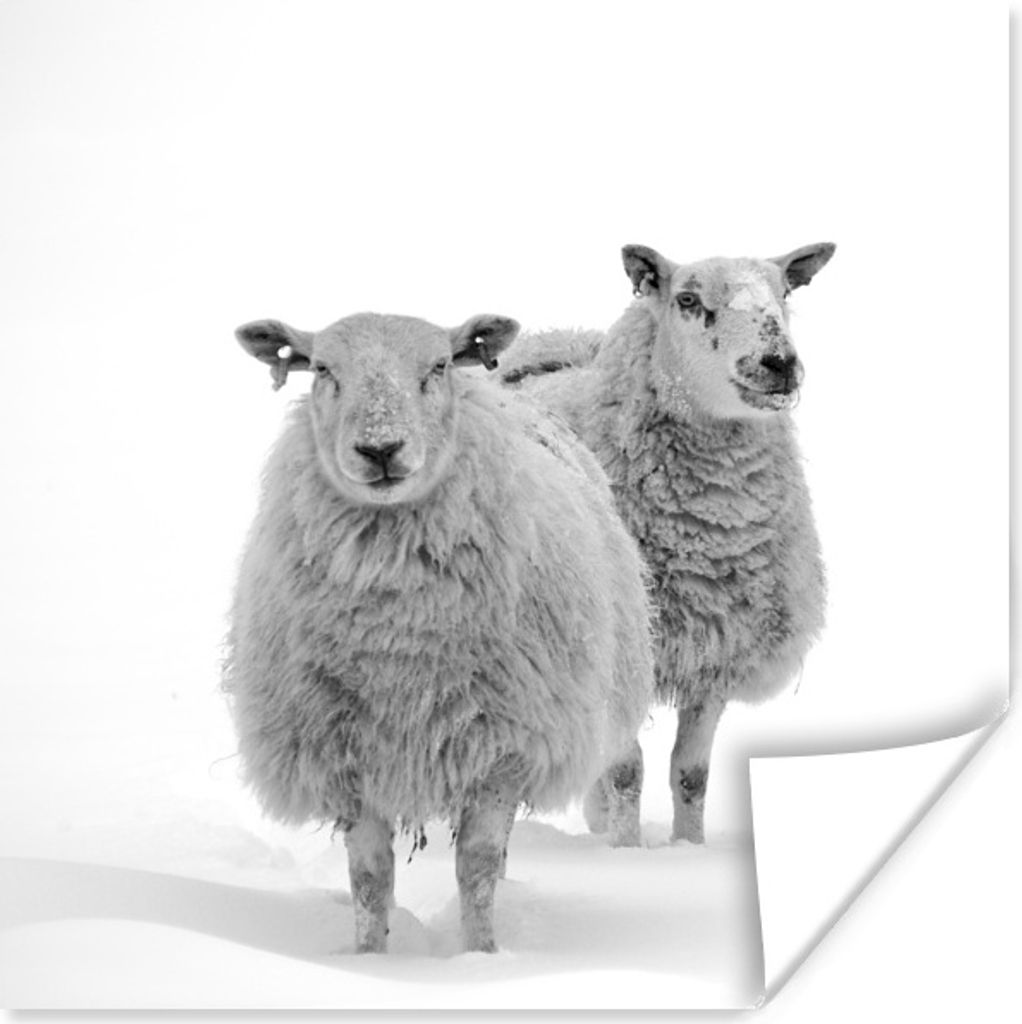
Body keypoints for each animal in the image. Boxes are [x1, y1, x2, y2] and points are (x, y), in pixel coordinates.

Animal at [223, 310, 654, 954]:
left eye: (440, 365)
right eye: (322, 368)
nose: (380, 448)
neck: (398, 641)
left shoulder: (503, 748)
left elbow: (475, 867)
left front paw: (481, 956)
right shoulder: (345, 754)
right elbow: (369, 878)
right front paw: (369, 957)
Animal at [498, 243, 833, 844]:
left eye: (785, 292)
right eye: (688, 300)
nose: (778, 362)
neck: (709, 531)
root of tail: (548, 346)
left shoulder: (715, 655)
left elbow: (691, 775)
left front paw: (687, 847)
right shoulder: (622, 654)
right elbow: (627, 772)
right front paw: (626, 850)